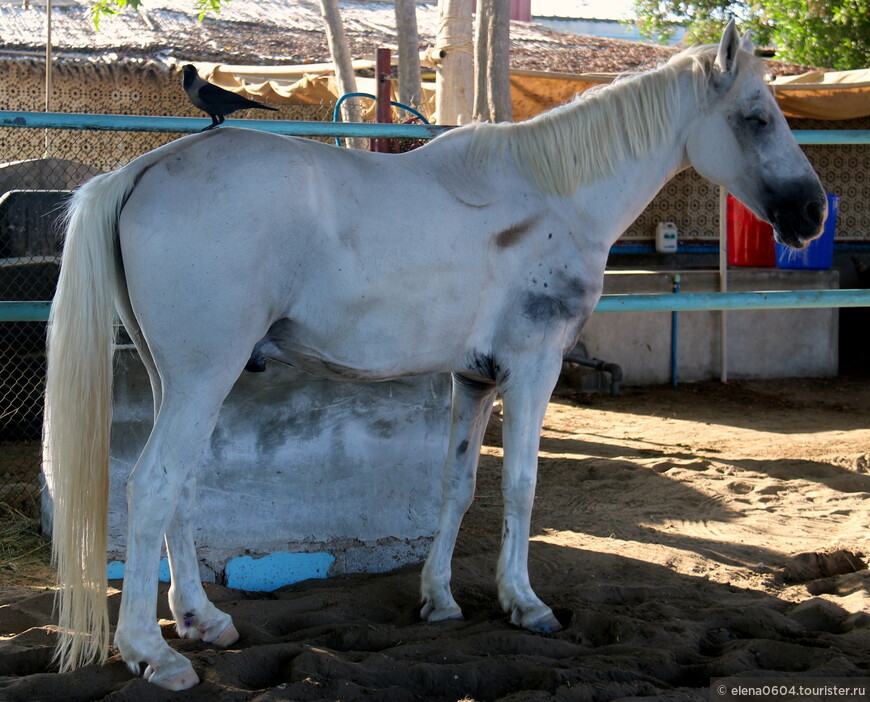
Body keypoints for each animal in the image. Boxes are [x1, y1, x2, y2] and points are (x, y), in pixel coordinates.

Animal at [44, 23, 828, 692]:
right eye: (757, 117)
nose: (813, 213)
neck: (553, 198)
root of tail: (148, 167)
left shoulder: (473, 380)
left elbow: (458, 486)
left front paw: (440, 600)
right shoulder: (534, 371)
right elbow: (520, 487)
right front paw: (525, 604)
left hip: (175, 380)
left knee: (180, 489)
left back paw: (203, 621)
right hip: (203, 377)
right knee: (153, 486)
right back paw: (154, 653)